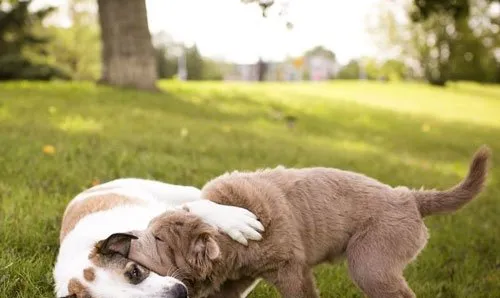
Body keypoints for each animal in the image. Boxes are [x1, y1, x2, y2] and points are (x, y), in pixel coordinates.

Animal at [108, 147, 488, 298]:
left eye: (159, 240)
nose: (124, 237)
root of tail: (409, 197)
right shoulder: (234, 280)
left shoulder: (291, 267)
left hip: (372, 258)